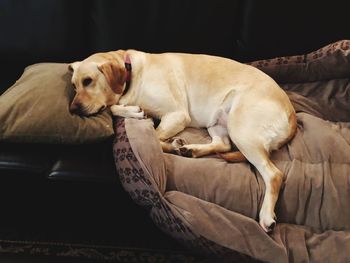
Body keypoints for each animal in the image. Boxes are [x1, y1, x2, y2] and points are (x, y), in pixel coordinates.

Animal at [69, 50, 298, 232]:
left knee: (274, 174)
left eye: (88, 81)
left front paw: (165, 139)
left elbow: (155, 135)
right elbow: (118, 110)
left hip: (241, 129)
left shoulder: (177, 114)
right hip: (218, 122)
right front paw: (135, 113)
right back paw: (191, 150)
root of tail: (292, 115)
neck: (131, 72)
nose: (72, 109)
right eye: (74, 85)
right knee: (222, 145)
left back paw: (266, 216)